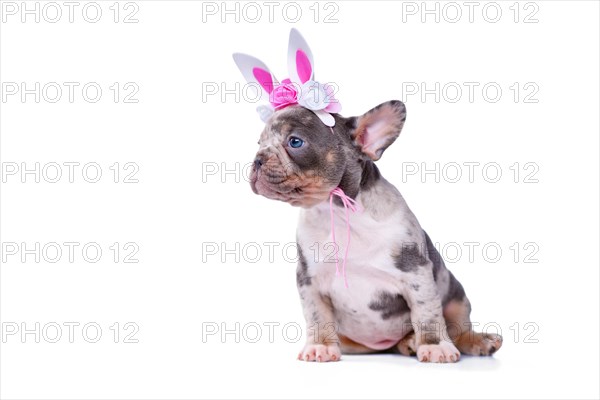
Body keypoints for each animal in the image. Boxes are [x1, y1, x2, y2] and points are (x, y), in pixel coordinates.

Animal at [234, 29, 502, 364]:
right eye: (259, 143)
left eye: (295, 142)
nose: (257, 160)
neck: (338, 212)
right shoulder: (309, 281)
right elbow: (317, 316)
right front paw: (320, 346)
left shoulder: (416, 272)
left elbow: (427, 313)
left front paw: (434, 345)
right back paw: (407, 343)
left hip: (456, 294)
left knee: (458, 324)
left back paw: (473, 340)